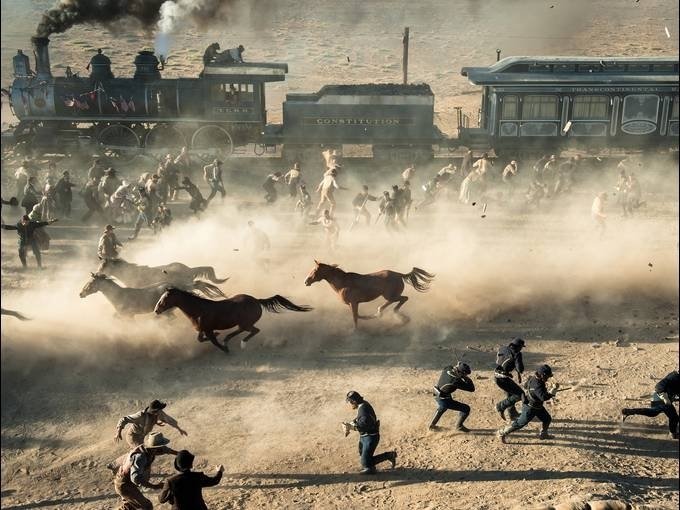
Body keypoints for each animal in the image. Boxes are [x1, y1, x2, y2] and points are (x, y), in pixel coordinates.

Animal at [154, 286, 314, 354]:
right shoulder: (202, 329)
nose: (156, 310)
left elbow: (214, 341)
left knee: (253, 331)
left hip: (246, 323)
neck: (198, 310)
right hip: (244, 324)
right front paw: (219, 337)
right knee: (247, 331)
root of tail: (257, 301)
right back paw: (230, 340)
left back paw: (238, 343)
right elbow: (200, 339)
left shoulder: (208, 329)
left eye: (165, 298)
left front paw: (225, 349)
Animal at [304, 260, 436, 328]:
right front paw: (368, 317)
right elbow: (357, 316)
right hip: (390, 296)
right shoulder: (353, 304)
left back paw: (387, 313)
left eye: (315, 270)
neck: (343, 283)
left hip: (390, 295)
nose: (306, 281)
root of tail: (400, 274)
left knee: (403, 299)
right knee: (401, 300)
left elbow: (355, 318)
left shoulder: (354, 303)